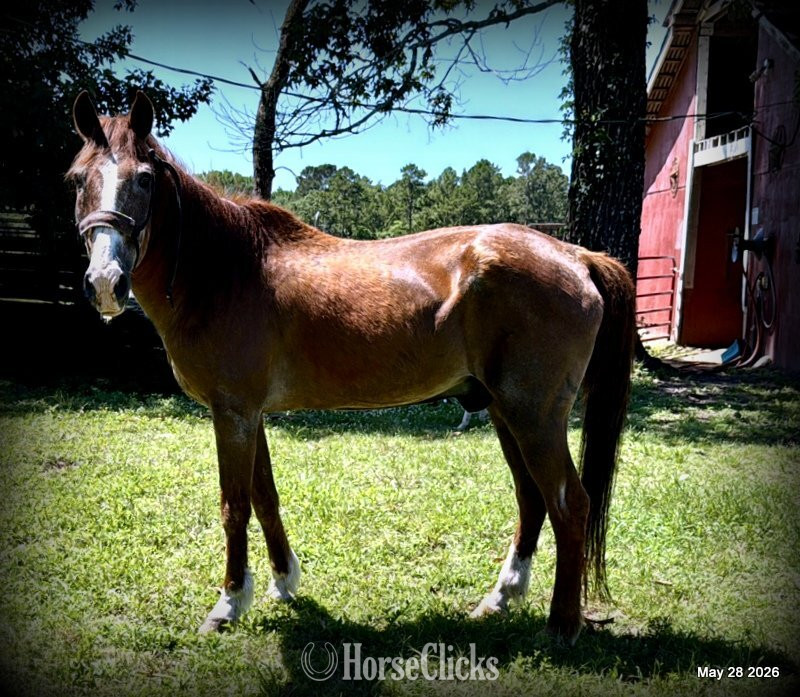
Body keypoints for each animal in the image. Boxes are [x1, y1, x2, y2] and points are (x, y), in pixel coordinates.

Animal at [68, 91, 635, 644]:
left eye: (144, 178)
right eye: (77, 179)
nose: (105, 283)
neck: (225, 271)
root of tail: (576, 255)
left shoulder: (232, 415)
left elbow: (235, 506)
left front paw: (228, 605)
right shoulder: (250, 415)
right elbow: (265, 498)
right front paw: (283, 582)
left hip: (533, 417)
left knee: (570, 504)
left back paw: (561, 627)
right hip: (502, 411)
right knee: (532, 500)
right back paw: (499, 600)